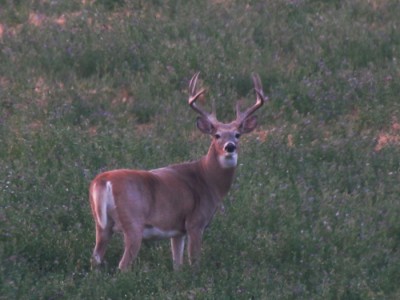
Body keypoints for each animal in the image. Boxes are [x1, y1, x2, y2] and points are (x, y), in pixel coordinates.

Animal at [89, 72, 268, 272]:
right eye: (217, 135)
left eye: (238, 134)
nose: (230, 147)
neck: (208, 180)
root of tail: (103, 180)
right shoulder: (195, 222)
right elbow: (194, 261)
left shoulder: (177, 230)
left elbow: (177, 264)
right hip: (133, 223)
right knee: (123, 264)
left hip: (102, 224)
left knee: (95, 258)